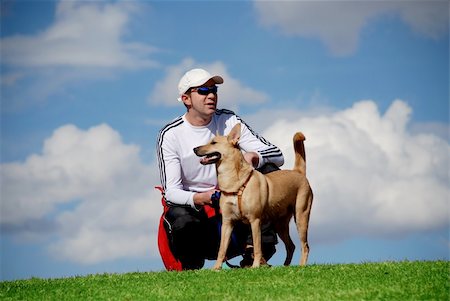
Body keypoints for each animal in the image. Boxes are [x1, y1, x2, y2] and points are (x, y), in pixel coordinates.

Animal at [193, 123, 312, 268]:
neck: (234, 184)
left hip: (301, 217)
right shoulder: (227, 222)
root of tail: (297, 172)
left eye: (213, 142)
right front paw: (216, 268)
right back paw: (285, 266)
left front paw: (255, 266)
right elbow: (222, 249)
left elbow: (257, 246)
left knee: (304, 246)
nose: (194, 149)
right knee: (291, 246)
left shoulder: (255, 220)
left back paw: (301, 266)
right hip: (280, 224)